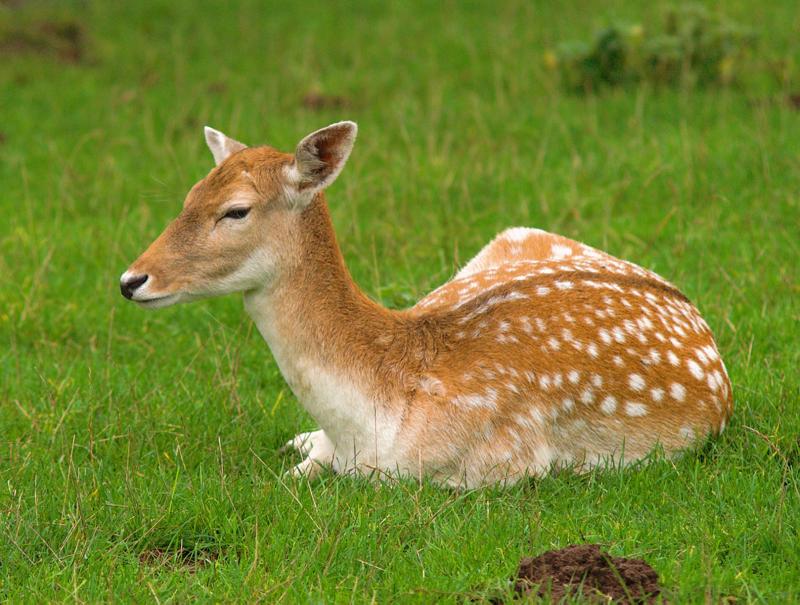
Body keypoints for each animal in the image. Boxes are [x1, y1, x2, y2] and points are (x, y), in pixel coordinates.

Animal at [120, 121, 733, 488]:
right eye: (190, 196)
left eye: (236, 210)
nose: (131, 279)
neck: (368, 420)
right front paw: (302, 443)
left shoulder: (508, 462)